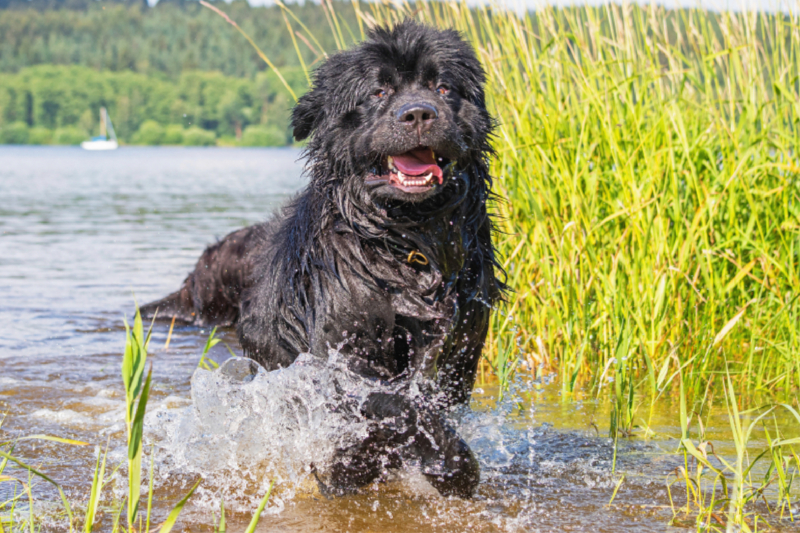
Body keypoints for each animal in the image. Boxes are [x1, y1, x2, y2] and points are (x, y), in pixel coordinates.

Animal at [143, 19, 504, 494]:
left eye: (443, 88)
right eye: (378, 92)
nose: (418, 113)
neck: (407, 245)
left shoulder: (461, 340)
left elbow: (428, 397)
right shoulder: (343, 342)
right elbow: (394, 404)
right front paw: (428, 463)